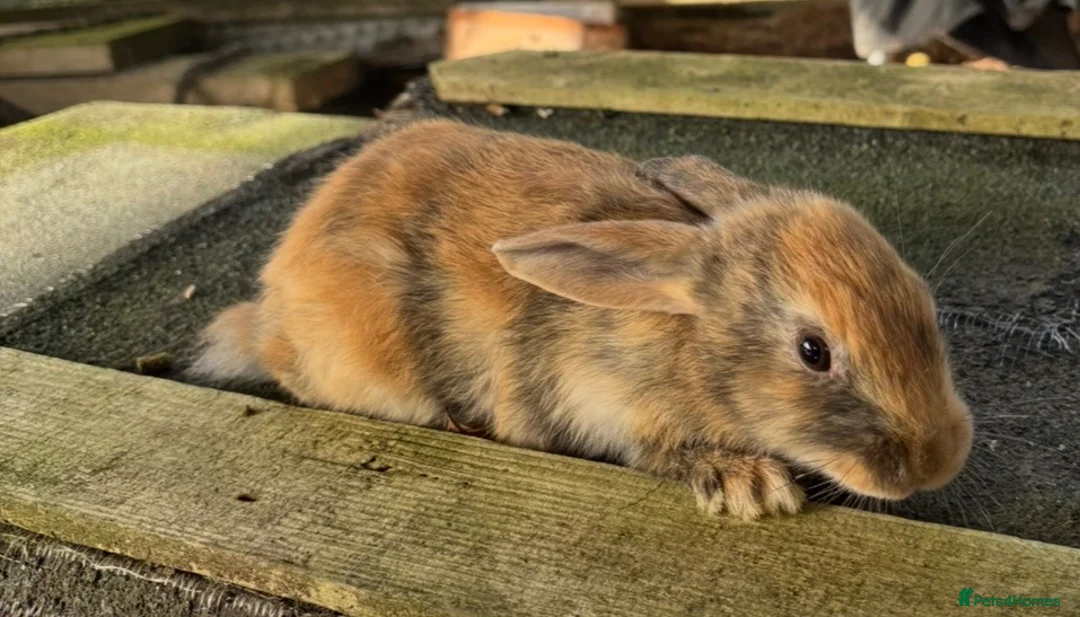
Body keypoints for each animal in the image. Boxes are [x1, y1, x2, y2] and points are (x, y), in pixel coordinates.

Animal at [192, 119, 973, 520]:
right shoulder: (603, 401)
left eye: (924, 304)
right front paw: (751, 485)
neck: (685, 337)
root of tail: (268, 316)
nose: (938, 461)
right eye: (813, 351)